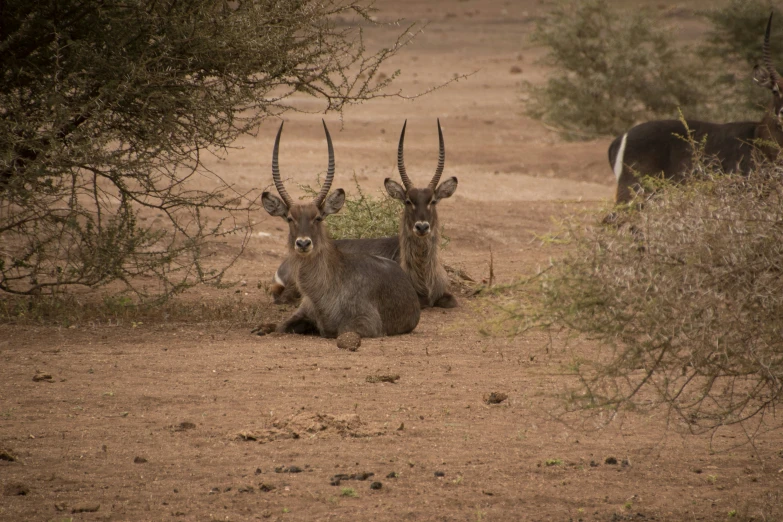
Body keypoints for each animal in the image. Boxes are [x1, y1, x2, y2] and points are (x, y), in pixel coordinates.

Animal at [262, 119, 422, 336]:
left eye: (318, 217)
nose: (303, 243)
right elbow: (279, 328)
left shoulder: (367, 324)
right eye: (289, 218)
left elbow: (341, 331)